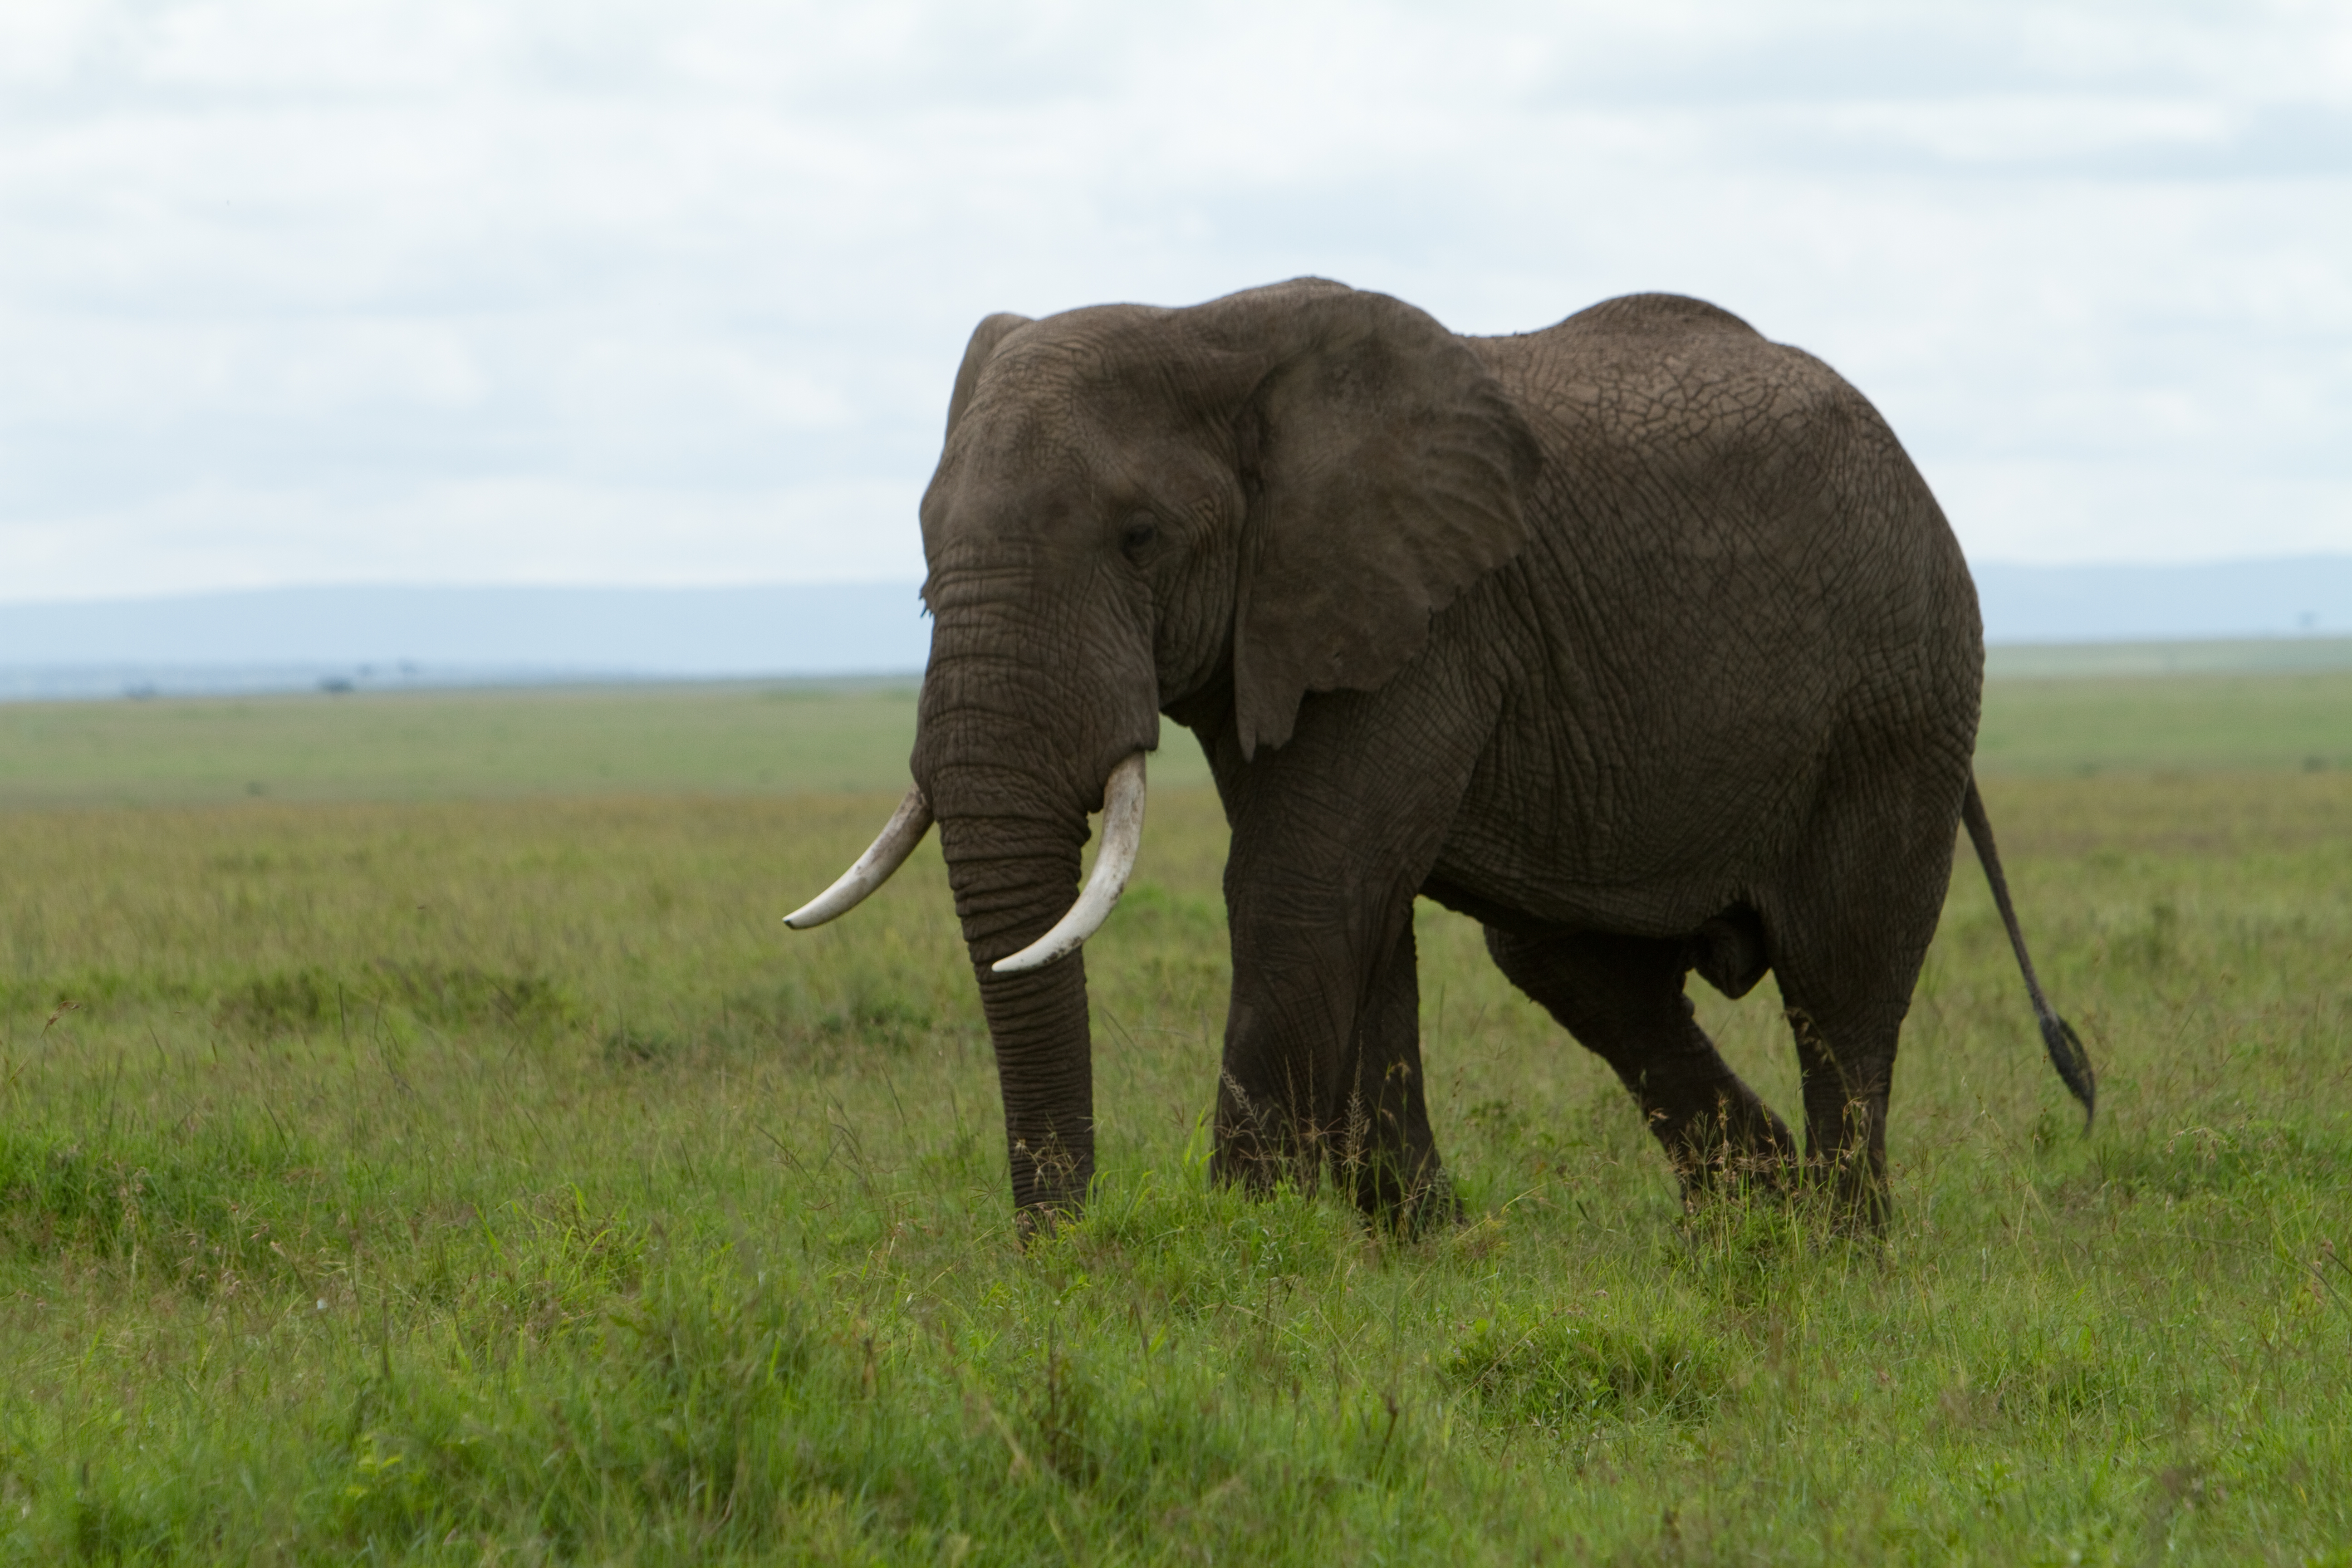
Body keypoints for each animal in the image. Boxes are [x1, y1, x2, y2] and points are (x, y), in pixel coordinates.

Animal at [789, 278, 2093, 1234]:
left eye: (1140, 538)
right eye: (922, 553)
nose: (1064, 1254)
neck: (1208, 326)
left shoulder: (1428, 624)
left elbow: (1300, 884)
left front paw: (1244, 1246)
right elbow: (1359, 905)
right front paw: (1418, 1238)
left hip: (1895, 700)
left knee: (1841, 979)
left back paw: (1836, 1243)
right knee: (1575, 966)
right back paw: (1750, 1220)